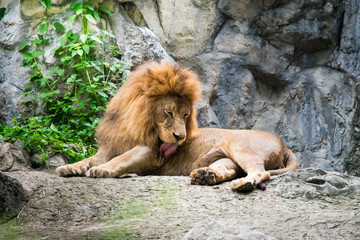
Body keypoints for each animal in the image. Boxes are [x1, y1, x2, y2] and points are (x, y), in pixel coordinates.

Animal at [55, 61, 298, 192]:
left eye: (186, 115)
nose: (181, 137)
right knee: (228, 170)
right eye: (169, 112)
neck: (131, 123)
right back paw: (205, 176)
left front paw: (103, 170)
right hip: (223, 158)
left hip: (242, 148)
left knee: (259, 172)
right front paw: (70, 167)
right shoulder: (107, 149)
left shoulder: (150, 152)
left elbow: (122, 159)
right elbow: (88, 159)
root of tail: (285, 145)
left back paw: (243, 184)